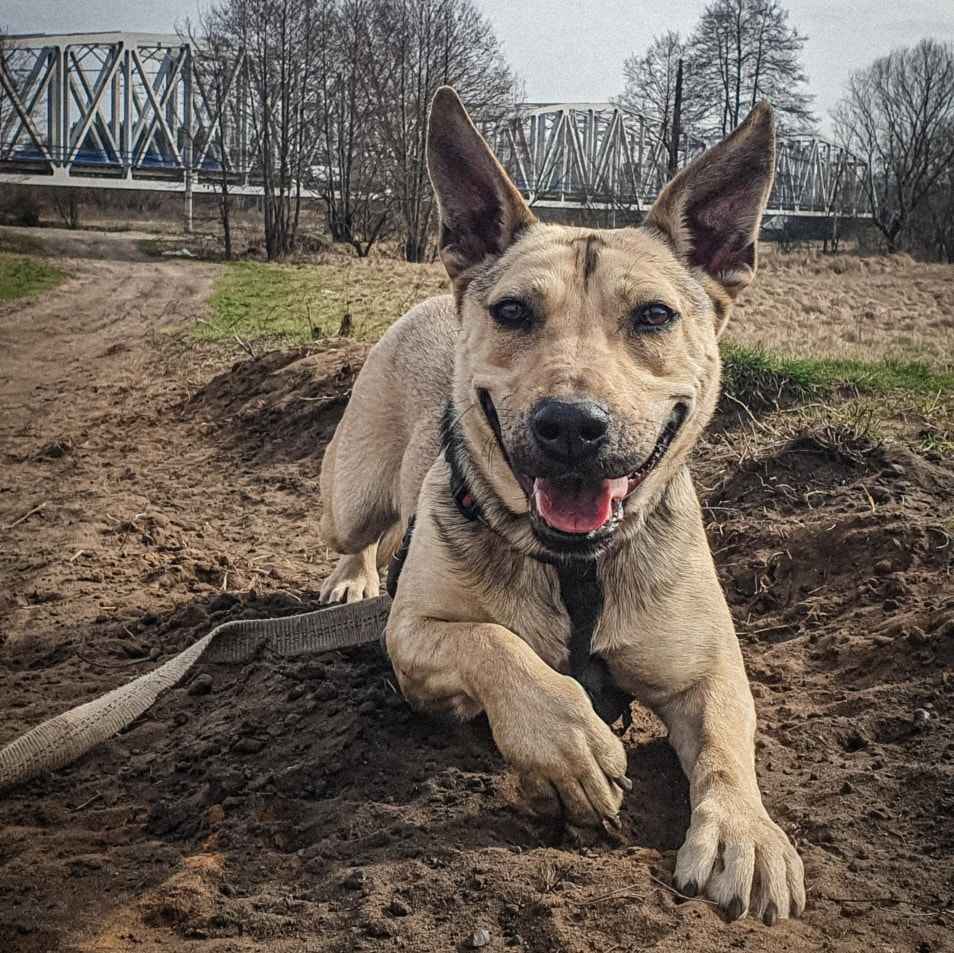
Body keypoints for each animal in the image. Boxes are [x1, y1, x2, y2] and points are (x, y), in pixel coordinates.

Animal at [318, 87, 804, 924]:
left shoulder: (707, 667)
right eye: (513, 311)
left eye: (653, 315)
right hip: (351, 489)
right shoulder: (413, 635)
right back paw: (354, 574)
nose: (572, 423)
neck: (578, 567)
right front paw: (569, 742)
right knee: (360, 530)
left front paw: (747, 828)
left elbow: (728, 739)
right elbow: (494, 643)